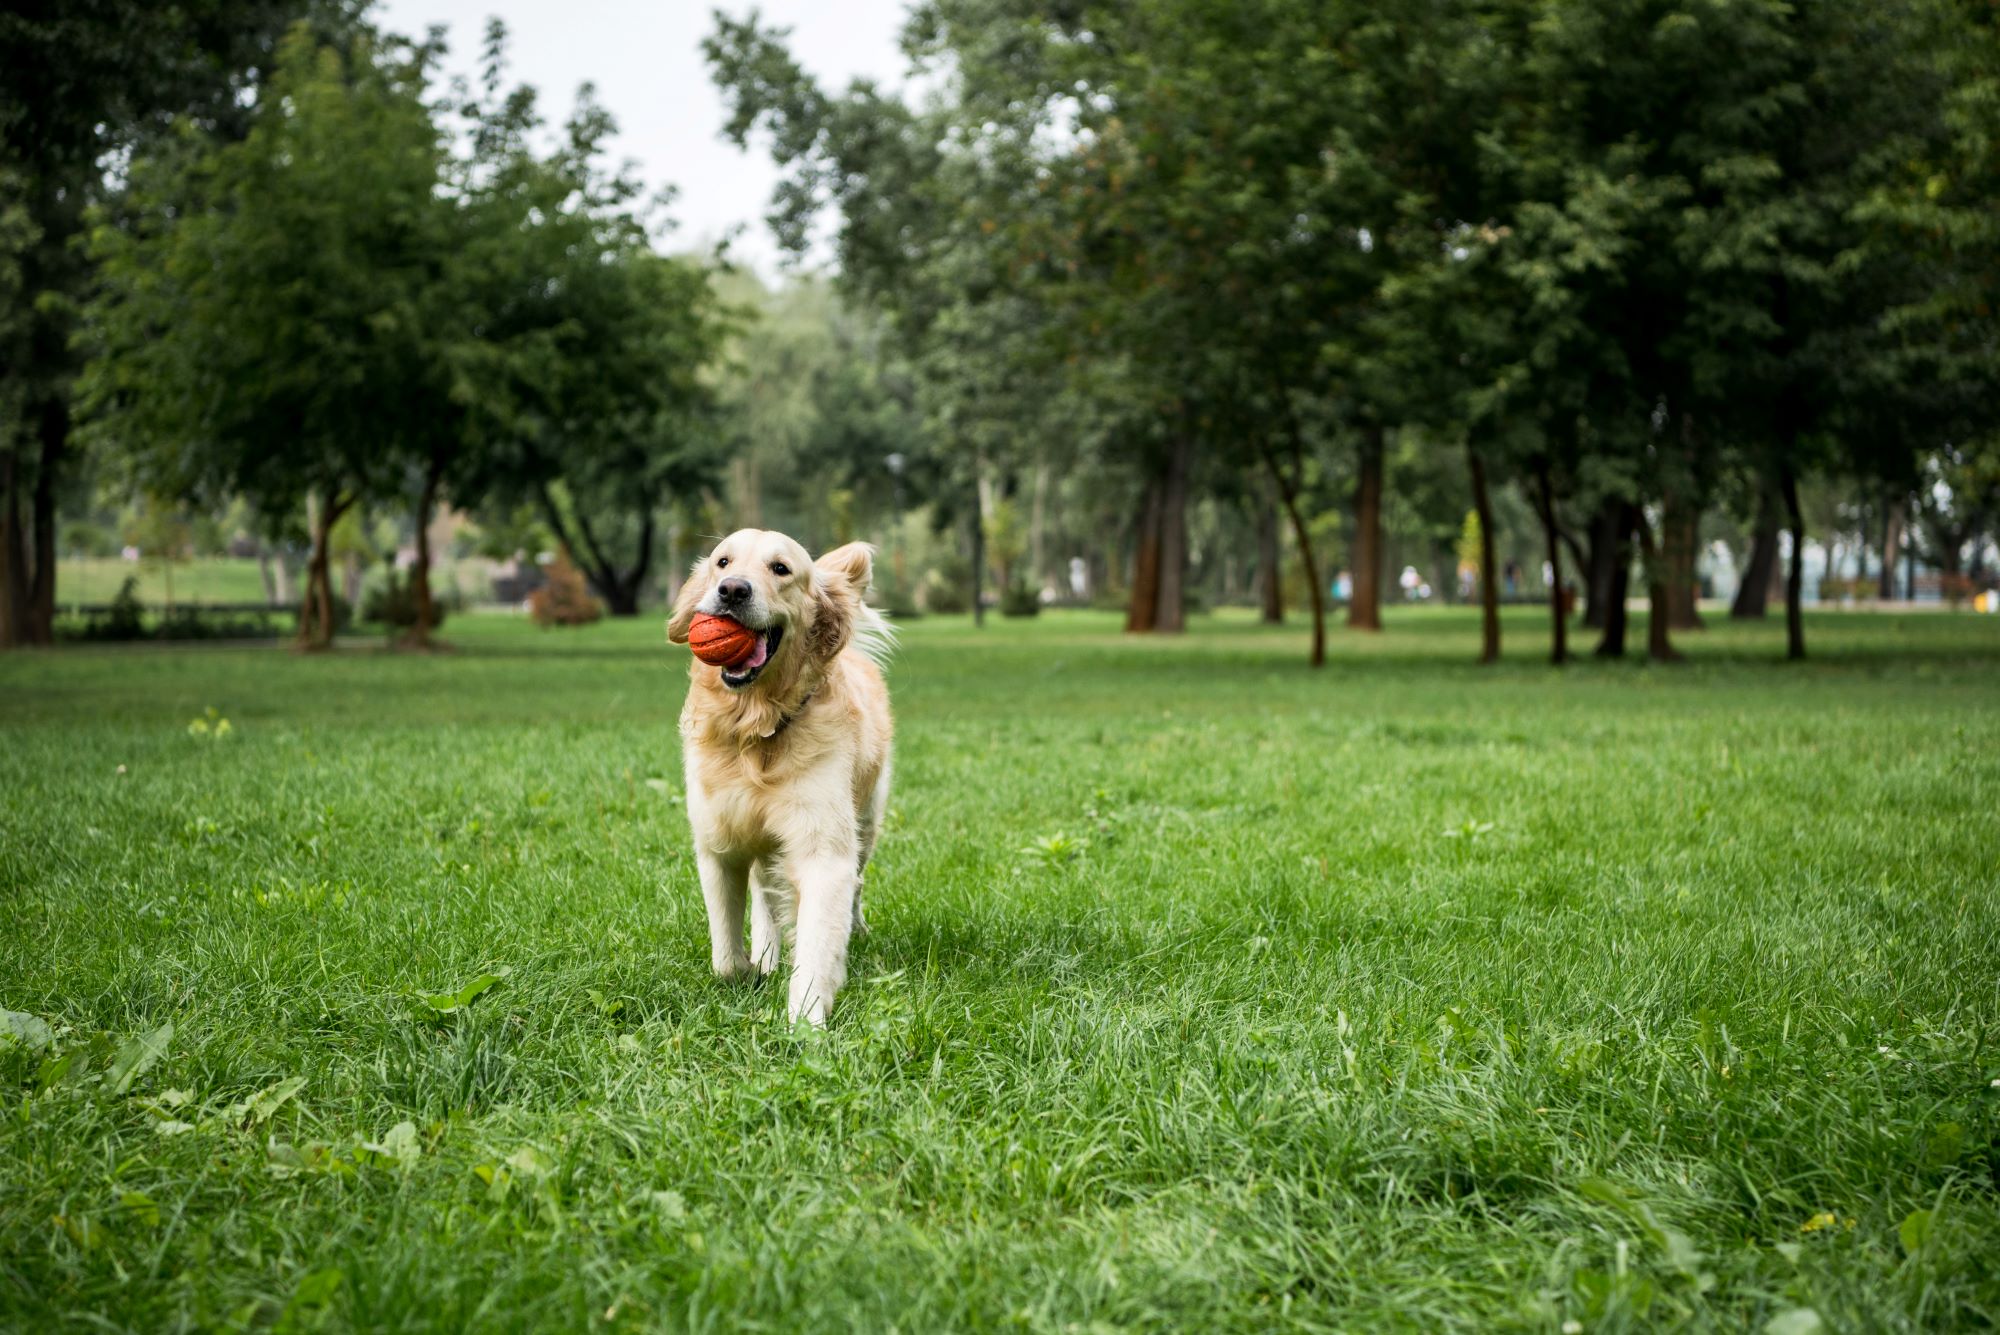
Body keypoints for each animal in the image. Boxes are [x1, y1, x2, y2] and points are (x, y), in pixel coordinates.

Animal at [668, 527, 896, 1023]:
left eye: (781, 569)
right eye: (722, 561)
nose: (732, 590)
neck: (755, 729)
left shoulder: (823, 849)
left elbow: (817, 942)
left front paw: (806, 1021)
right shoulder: (719, 843)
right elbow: (725, 956)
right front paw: (750, 969)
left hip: (866, 819)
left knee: (855, 885)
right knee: (765, 894)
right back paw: (767, 953)